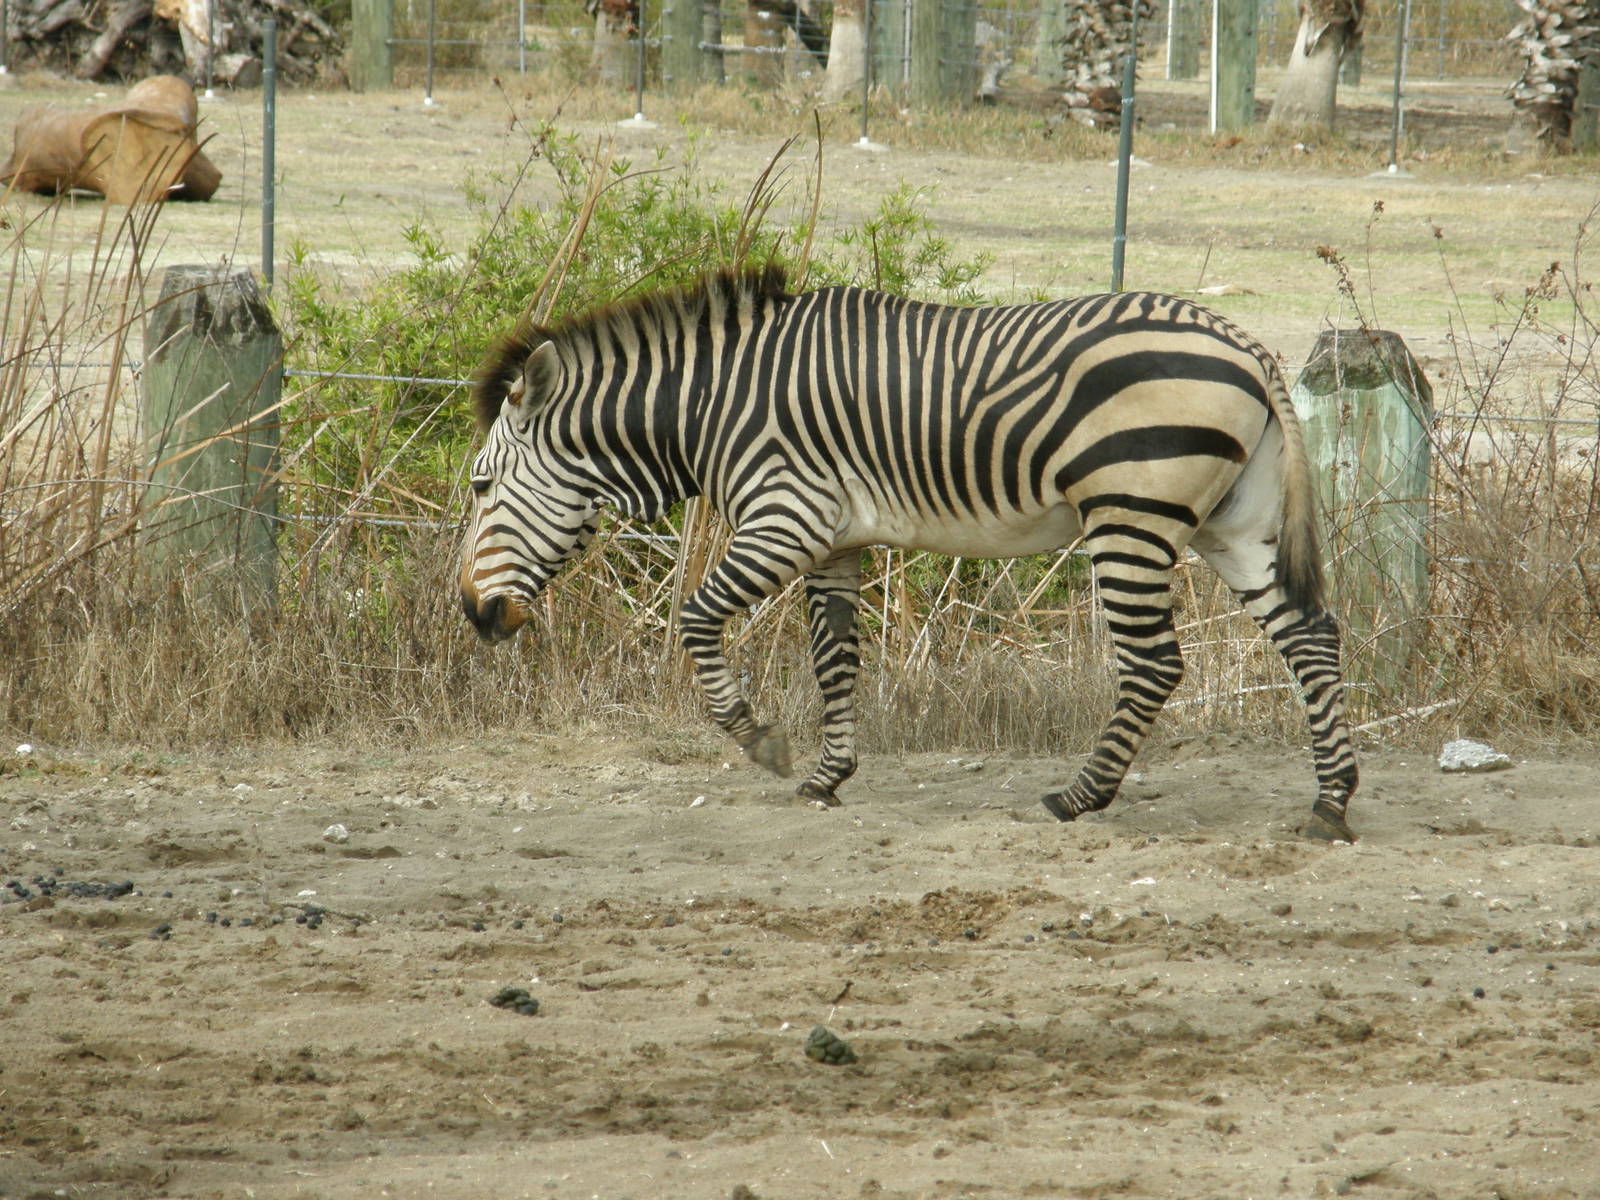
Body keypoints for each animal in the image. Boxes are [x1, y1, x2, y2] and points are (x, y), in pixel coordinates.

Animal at [459, 266, 1359, 841]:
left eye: (480, 484)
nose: (475, 615)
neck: (713, 404)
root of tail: (1244, 342)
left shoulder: (784, 518)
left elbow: (696, 620)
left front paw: (760, 741)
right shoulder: (834, 540)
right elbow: (835, 661)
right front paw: (828, 777)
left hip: (1129, 514)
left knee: (1155, 664)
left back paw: (1079, 798)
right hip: (1234, 524)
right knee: (1311, 636)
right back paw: (1331, 803)